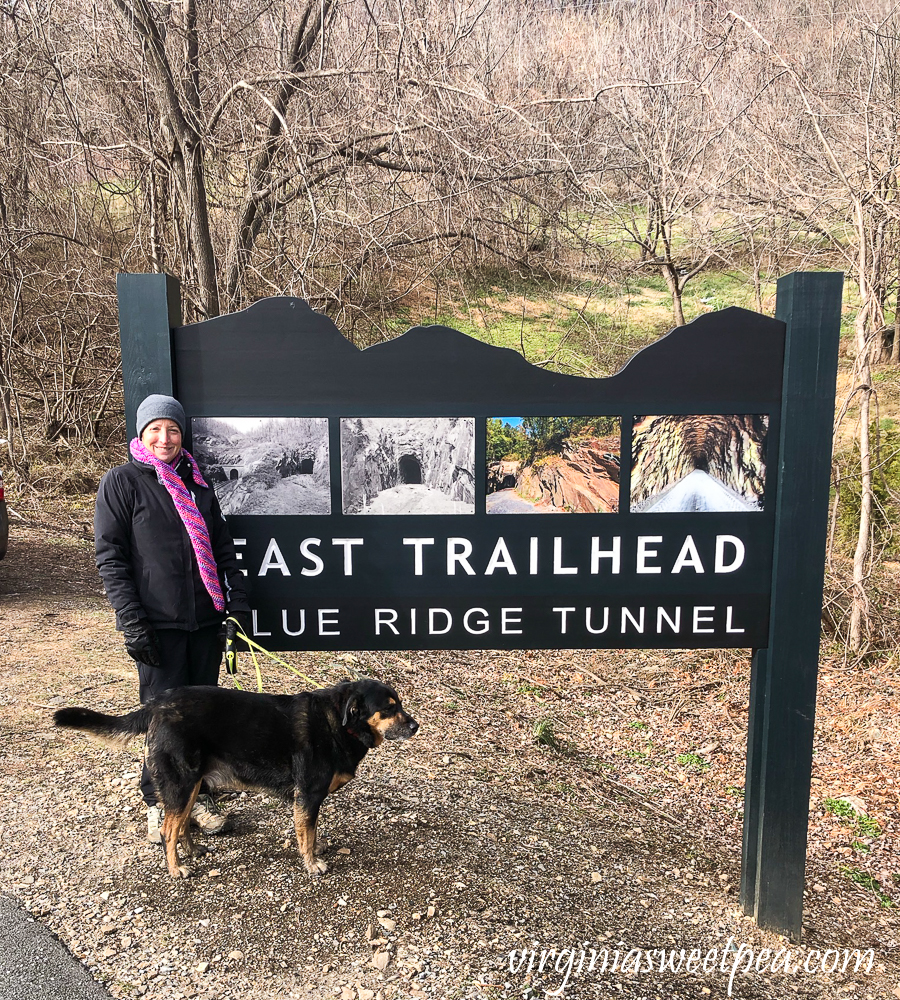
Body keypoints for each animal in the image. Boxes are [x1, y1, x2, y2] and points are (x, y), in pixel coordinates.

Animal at [55, 680, 418, 876]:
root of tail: (156, 704)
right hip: (181, 783)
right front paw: (312, 862)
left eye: (399, 704)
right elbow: (306, 833)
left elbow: (311, 830)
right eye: (388, 708)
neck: (341, 723)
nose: (416, 726)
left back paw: (194, 851)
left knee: (183, 824)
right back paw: (176, 869)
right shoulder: (308, 794)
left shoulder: (309, 800)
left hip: (192, 784)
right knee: (169, 830)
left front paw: (317, 847)